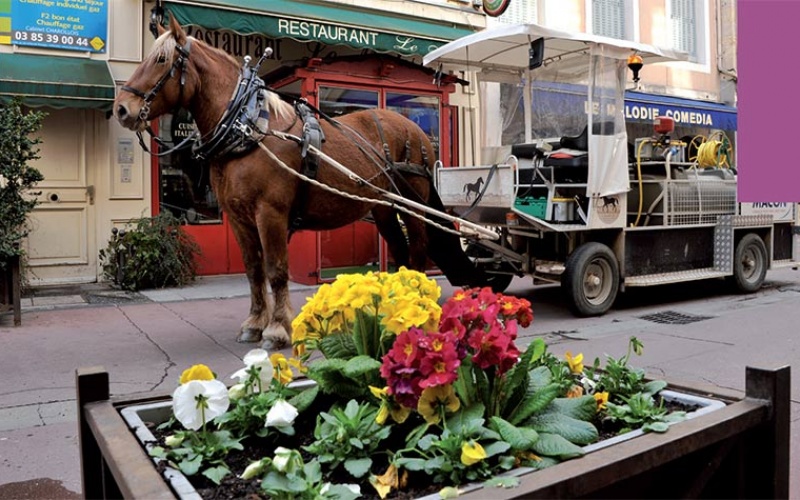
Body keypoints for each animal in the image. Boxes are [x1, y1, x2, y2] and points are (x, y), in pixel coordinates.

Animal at [113, 17, 478, 350]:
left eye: (161, 60)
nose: (121, 109)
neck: (250, 129)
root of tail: (414, 129)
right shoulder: (239, 218)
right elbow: (254, 271)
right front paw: (254, 324)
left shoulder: (270, 213)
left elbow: (276, 270)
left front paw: (276, 330)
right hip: (384, 207)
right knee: (400, 250)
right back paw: (392, 301)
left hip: (411, 204)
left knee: (417, 249)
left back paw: (416, 302)